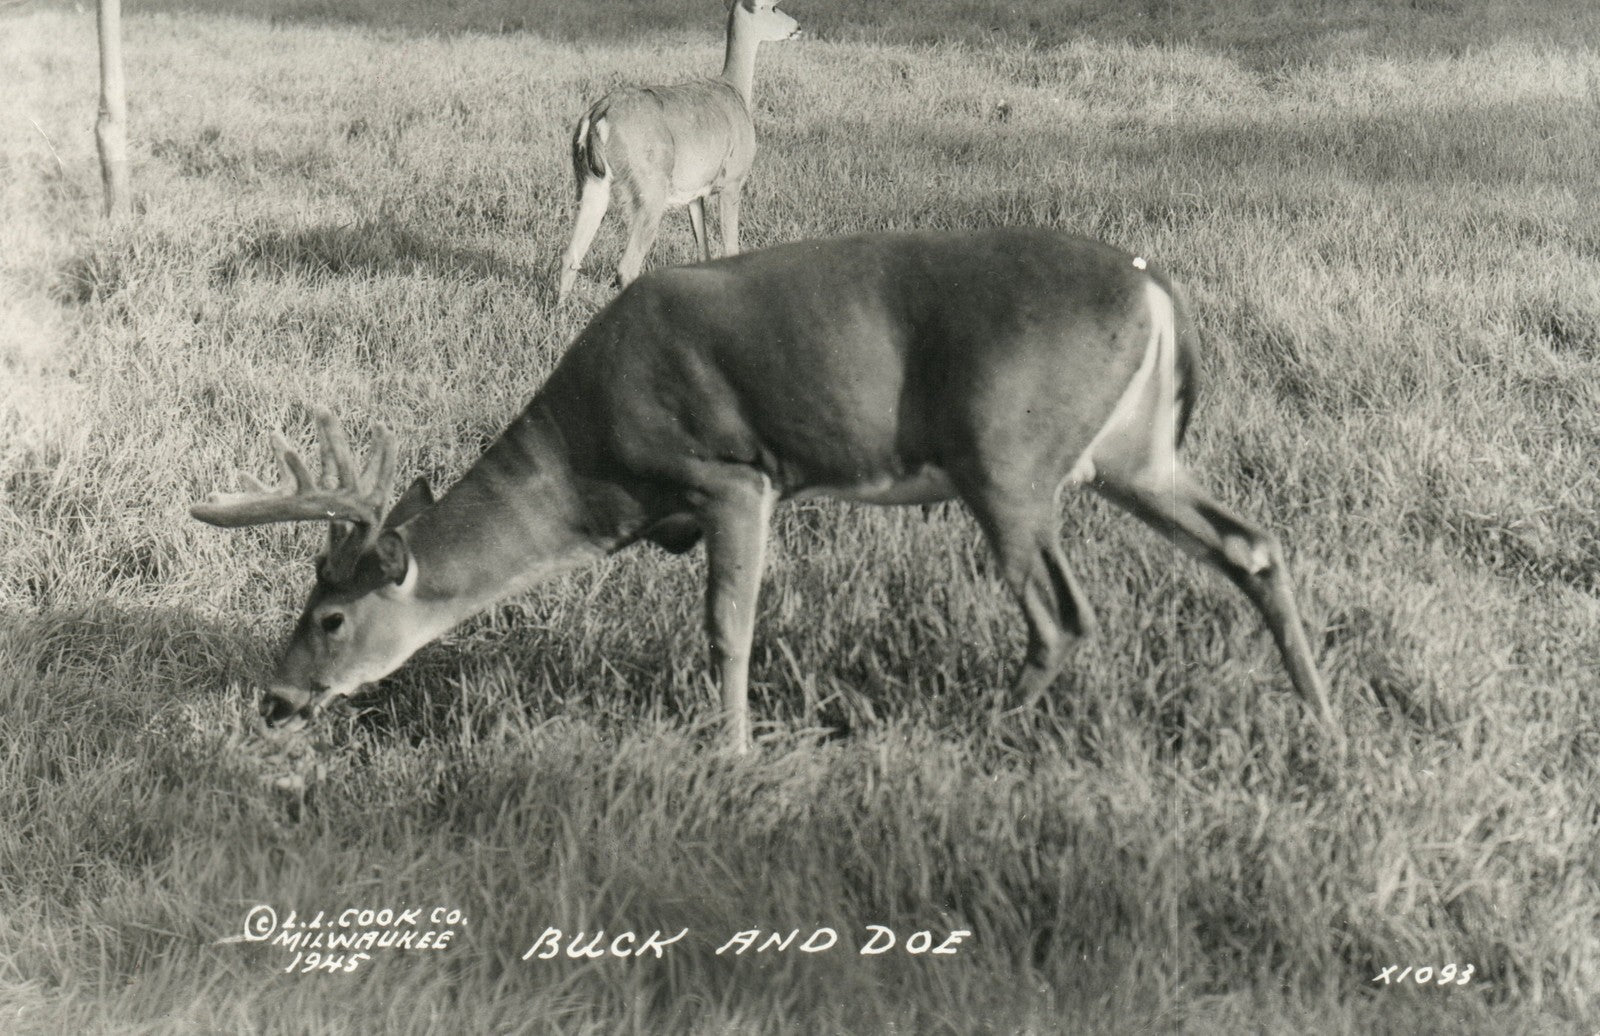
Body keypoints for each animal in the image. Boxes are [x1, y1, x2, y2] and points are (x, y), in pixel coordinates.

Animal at [193, 228, 1341, 755]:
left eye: (330, 616)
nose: (275, 698)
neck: (592, 474)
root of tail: (1157, 291)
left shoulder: (735, 476)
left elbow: (727, 627)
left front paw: (734, 751)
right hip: (1134, 456)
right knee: (1253, 545)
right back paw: (1323, 723)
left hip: (1008, 459)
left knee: (1065, 615)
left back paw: (973, 732)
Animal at [553, 0, 801, 305]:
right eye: (774, 7)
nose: (797, 26)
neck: (735, 89)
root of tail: (598, 115)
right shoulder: (732, 180)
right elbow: (731, 249)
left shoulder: (694, 194)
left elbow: (703, 251)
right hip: (650, 186)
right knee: (626, 266)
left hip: (590, 181)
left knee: (570, 254)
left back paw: (561, 311)